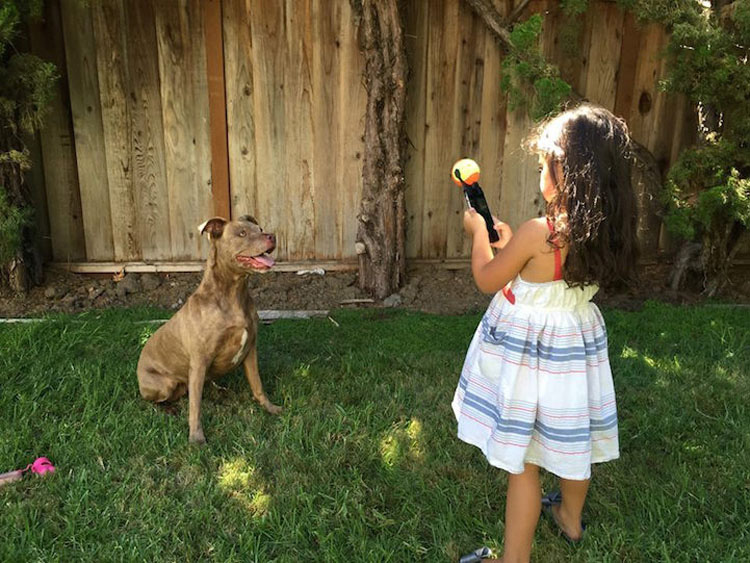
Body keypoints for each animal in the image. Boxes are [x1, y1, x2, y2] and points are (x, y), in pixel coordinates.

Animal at [136, 214, 282, 442]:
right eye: (242, 233)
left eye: (259, 229)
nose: (272, 236)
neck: (233, 293)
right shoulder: (199, 361)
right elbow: (195, 406)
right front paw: (196, 438)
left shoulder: (250, 350)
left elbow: (257, 385)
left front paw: (270, 408)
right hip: (162, 384)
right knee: (157, 401)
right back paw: (169, 410)